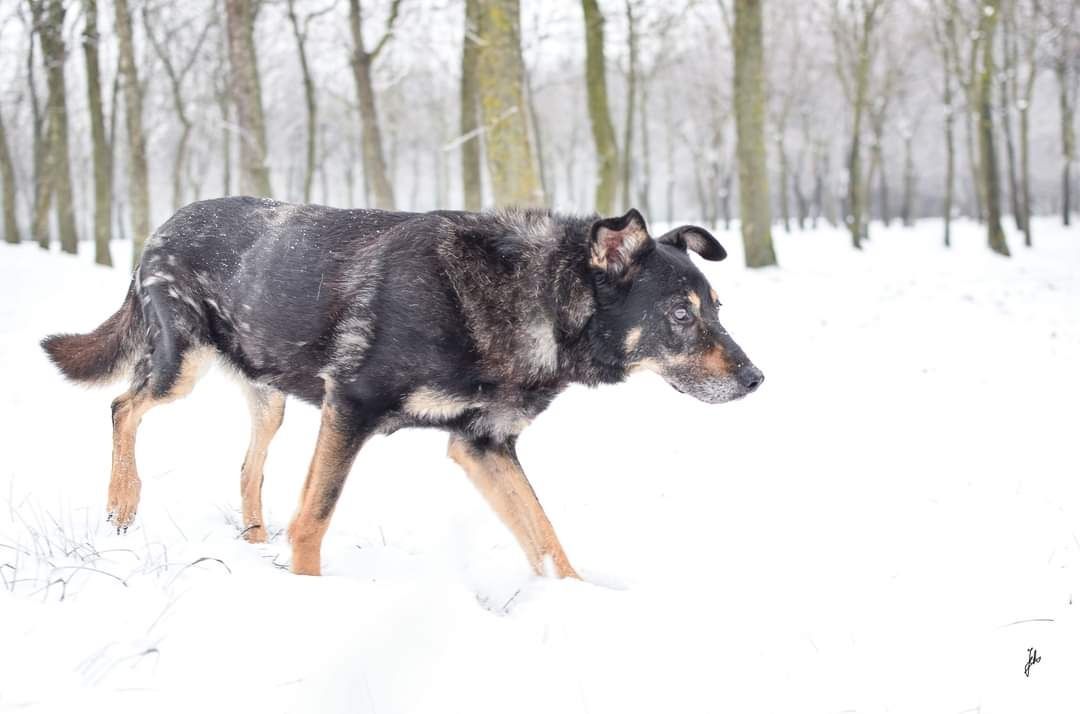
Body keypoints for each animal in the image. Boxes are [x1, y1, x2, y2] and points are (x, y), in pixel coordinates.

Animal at [42, 197, 764, 574]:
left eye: (718, 309)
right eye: (681, 315)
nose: (757, 379)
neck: (529, 297)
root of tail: (161, 226)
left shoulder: (482, 446)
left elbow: (547, 539)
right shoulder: (349, 408)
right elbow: (314, 520)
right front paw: (305, 593)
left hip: (270, 396)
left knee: (247, 466)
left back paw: (251, 541)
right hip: (182, 366)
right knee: (124, 404)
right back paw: (122, 506)